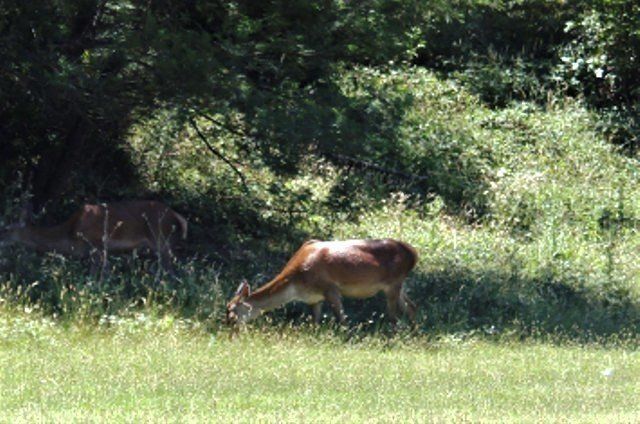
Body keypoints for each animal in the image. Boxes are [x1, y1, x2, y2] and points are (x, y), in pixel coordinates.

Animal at [0, 200, 187, 275]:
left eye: (7, 229)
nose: (0, 240)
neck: (71, 234)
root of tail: (176, 215)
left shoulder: (97, 243)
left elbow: (98, 273)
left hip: (160, 238)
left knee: (170, 268)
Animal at [226, 238, 418, 327]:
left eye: (232, 312)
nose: (230, 330)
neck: (297, 284)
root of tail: (414, 254)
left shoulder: (330, 288)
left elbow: (342, 320)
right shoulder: (314, 298)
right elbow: (315, 323)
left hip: (393, 283)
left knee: (394, 317)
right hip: (399, 284)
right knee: (411, 307)